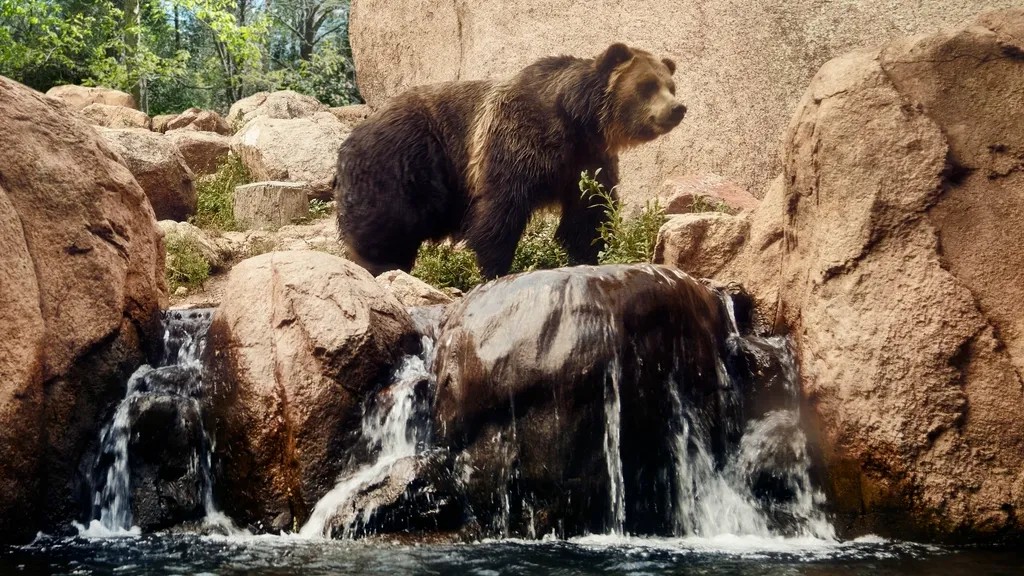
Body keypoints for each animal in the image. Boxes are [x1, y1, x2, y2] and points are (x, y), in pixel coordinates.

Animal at [335, 43, 686, 279]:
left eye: (670, 85)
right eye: (647, 86)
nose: (677, 108)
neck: (575, 121)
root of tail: (354, 133)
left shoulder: (588, 158)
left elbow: (589, 212)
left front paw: (590, 253)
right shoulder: (516, 141)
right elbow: (501, 208)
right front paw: (493, 267)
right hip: (402, 158)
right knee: (386, 219)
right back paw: (380, 264)